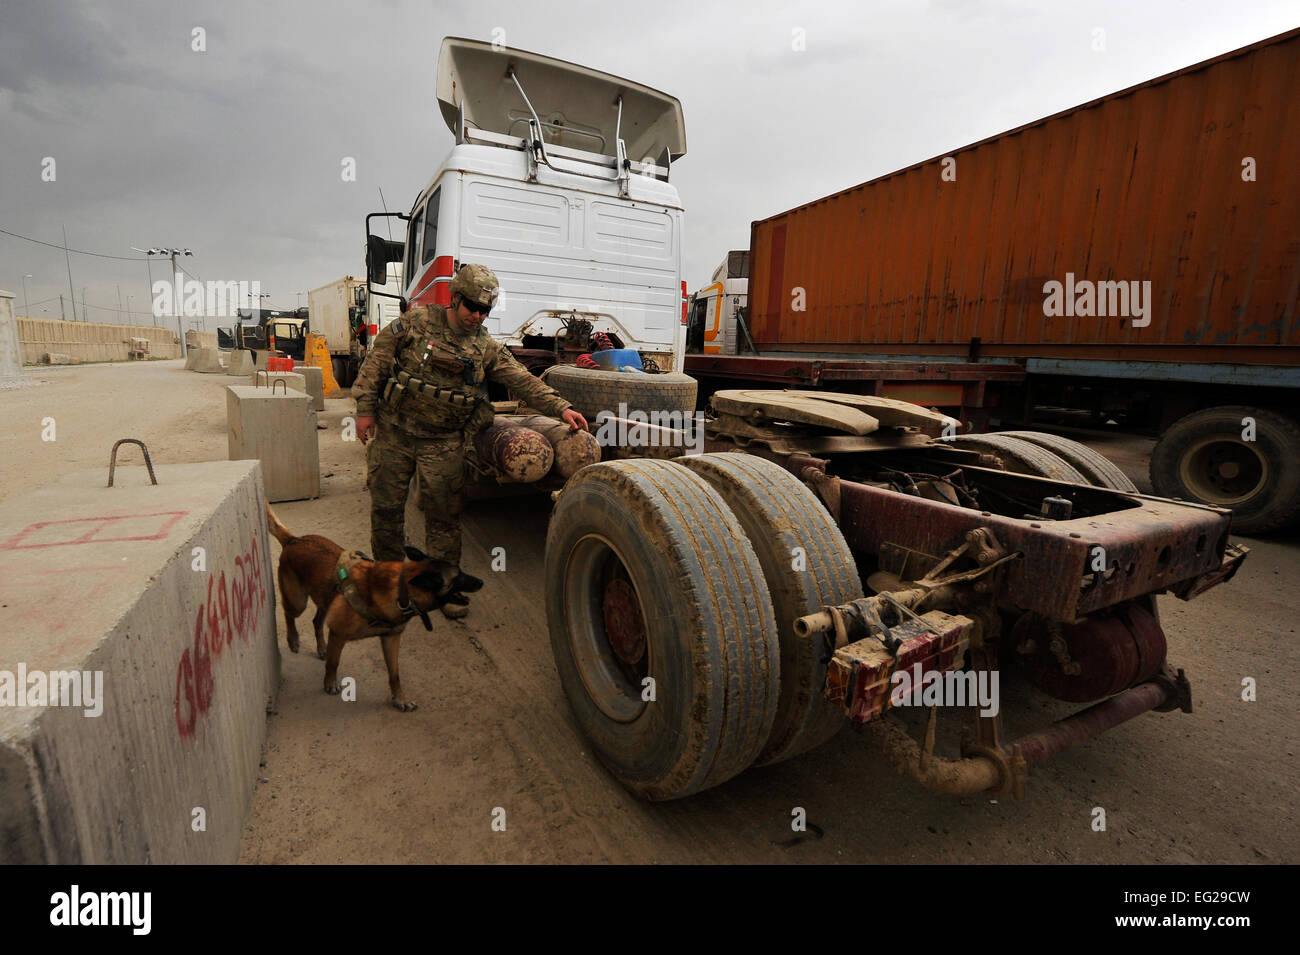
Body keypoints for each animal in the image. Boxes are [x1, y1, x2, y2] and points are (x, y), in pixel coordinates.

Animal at [266, 504, 486, 712]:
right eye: (458, 577)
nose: (482, 581)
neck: (401, 590)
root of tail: (294, 540)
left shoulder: (391, 638)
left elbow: (395, 674)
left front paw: (400, 699)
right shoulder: (338, 634)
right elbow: (334, 663)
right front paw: (330, 682)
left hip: (324, 600)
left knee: (316, 621)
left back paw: (321, 648)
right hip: (298, 601)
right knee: (288, 613)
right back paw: (293, 640)